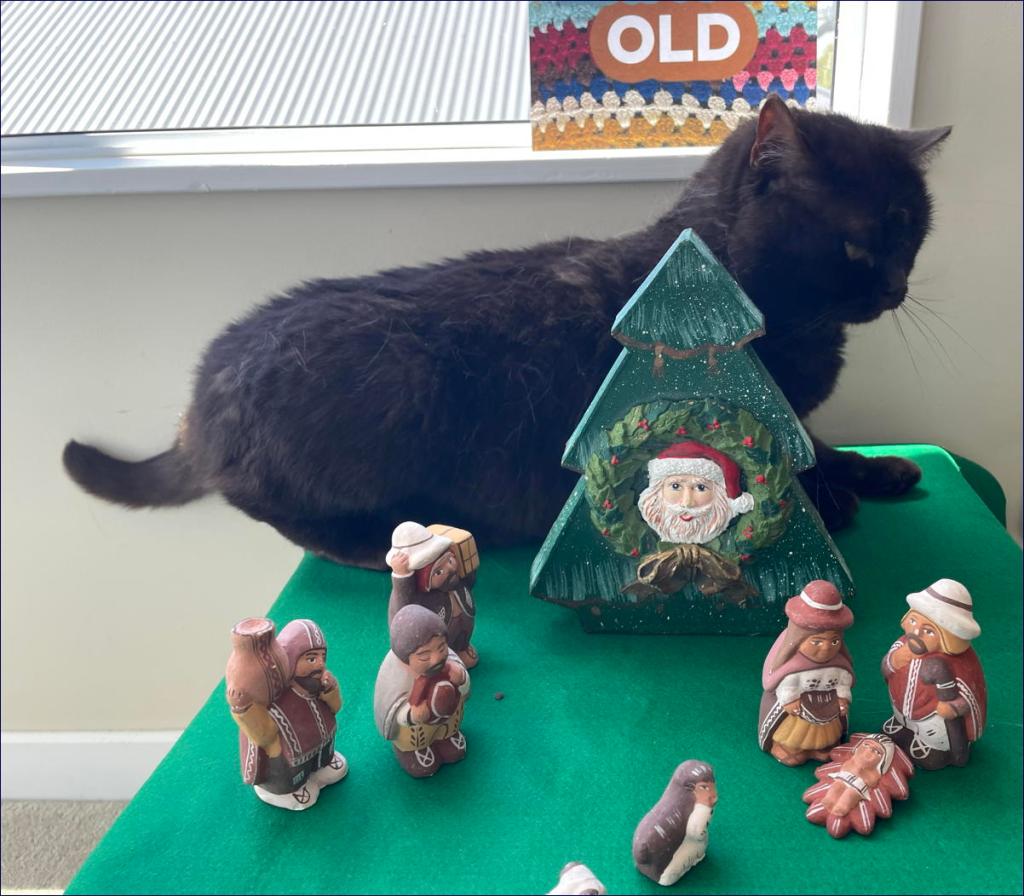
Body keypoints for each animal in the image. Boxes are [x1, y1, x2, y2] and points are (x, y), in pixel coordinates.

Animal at [63, 97, 950, 569]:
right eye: (857, 243)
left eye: (913, 233)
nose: (898, 285)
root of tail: (203, 393)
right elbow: (779, 466)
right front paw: (834, 498)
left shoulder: (795, 413)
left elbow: (818, 443)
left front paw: (875, 469)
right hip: (391, 391)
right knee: (274, 511)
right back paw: (380, 537)